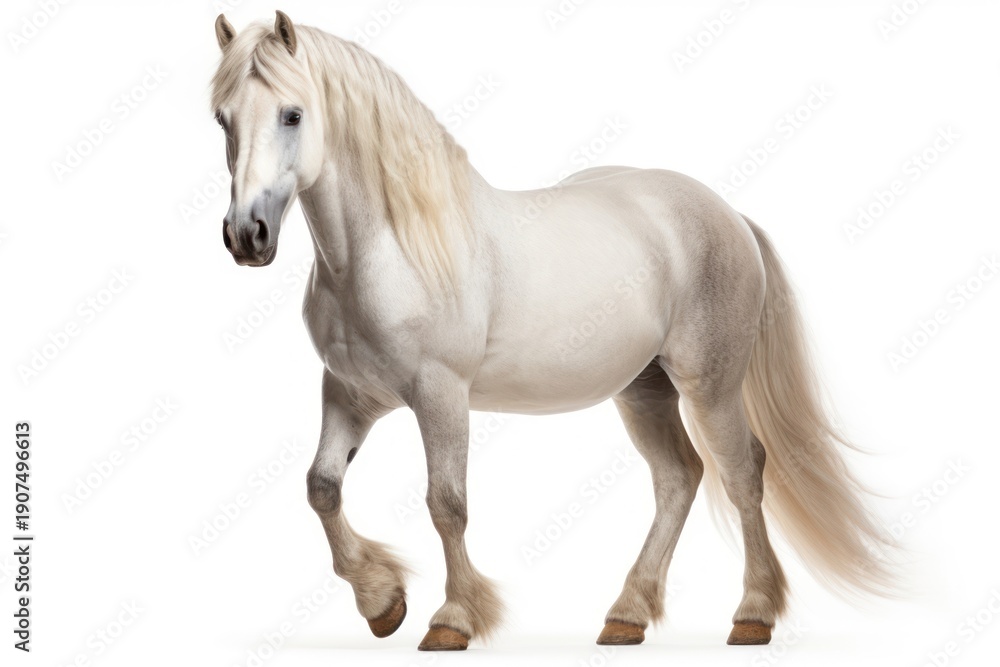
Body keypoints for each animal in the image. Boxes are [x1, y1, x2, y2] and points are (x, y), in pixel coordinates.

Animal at [209, 11, 895, 651]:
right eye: (222, 118)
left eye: (293, 114)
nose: (247, 236)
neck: (392, 249)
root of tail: (727, 214)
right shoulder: (351, 394)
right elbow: (322, 488)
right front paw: (382, 604)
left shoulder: (440, 394)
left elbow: (446, 503)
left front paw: (452, 620)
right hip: (643, 390)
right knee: (679, 478)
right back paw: (627, 615)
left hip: (711, 384)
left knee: (742, 472)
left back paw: (752, 614)